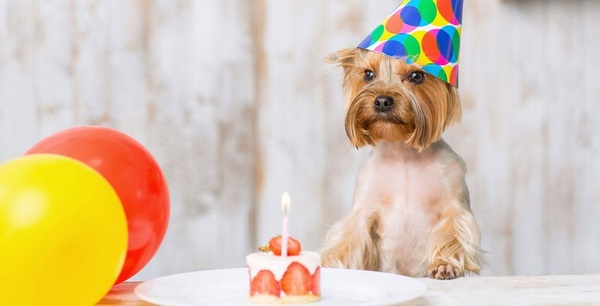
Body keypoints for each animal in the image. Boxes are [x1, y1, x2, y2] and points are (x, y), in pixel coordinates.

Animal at [322, 47, 480, 280]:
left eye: (416, 76)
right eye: (368, 74)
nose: (382, 101)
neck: (403, 154)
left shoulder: (454, 200)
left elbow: (453, 231)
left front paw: (444, 264)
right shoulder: (364, 206)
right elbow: (349, 236)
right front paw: (331, 263)